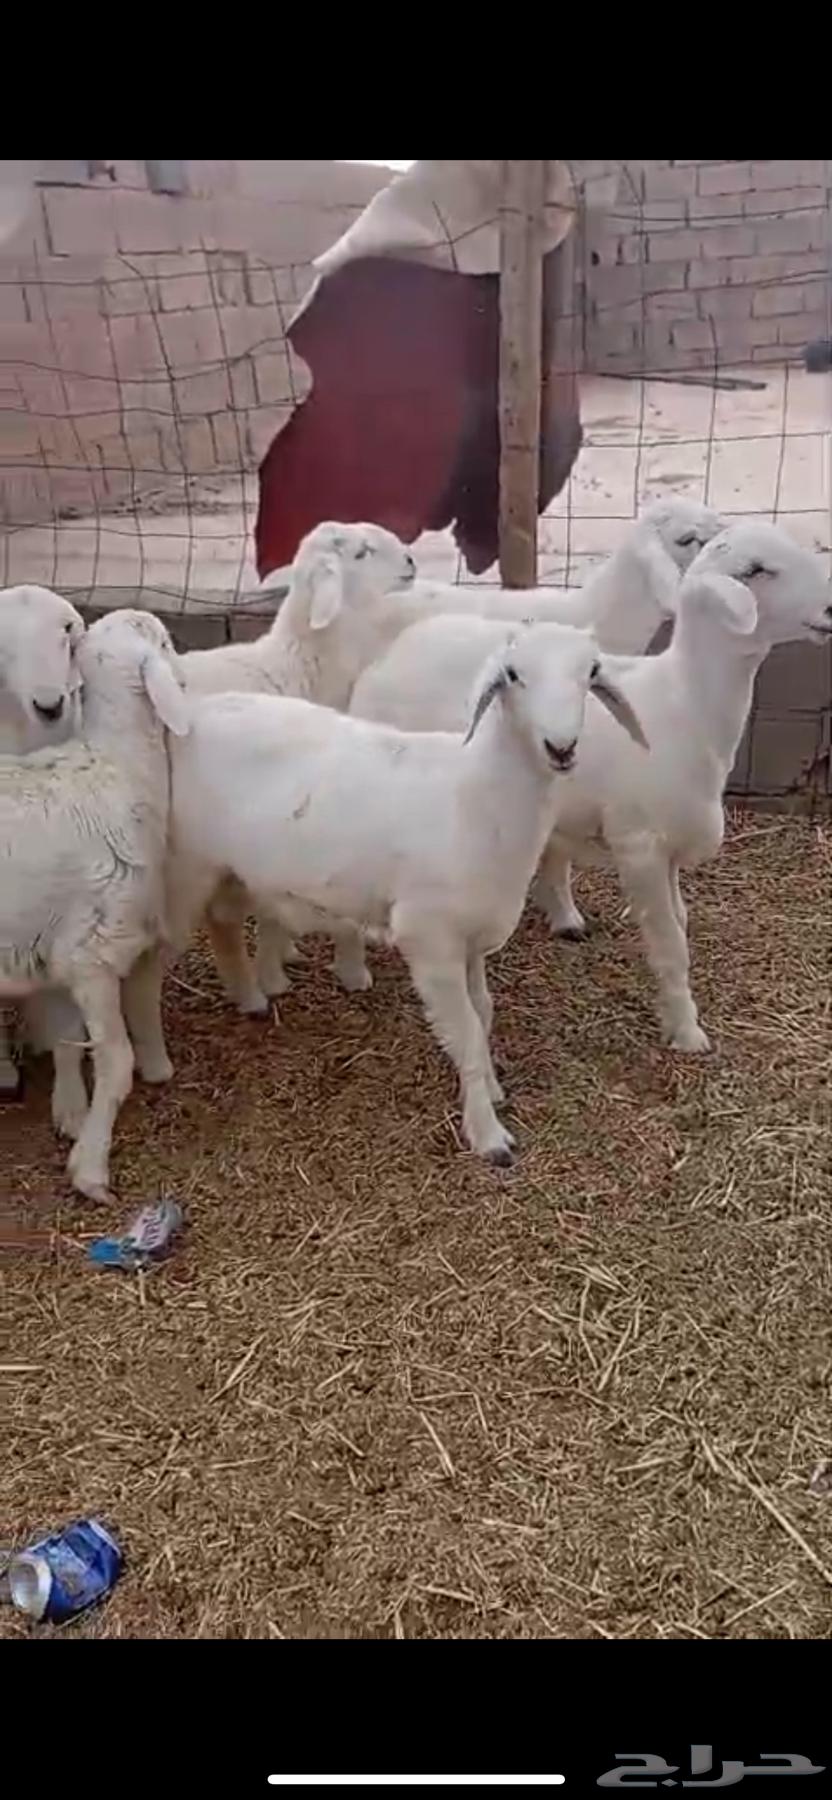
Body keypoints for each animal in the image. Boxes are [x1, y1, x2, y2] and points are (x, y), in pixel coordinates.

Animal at [0, 609, 190, 1201]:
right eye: (167, 643)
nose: (187, 676)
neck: (118, 765)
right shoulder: (94, 955)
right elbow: (117, 1061)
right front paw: (91, 1168)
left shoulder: (61, 950)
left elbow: (67, 1038)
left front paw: (72, 1117)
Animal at [166, 622, 647, 1163]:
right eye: (513, 674)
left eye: (591, 671)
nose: (561, 747)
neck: (475, 796)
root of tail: (200, 710)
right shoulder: (430, 937)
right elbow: (464, 1031)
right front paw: (488, 1135)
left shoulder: (470, 938)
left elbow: (483, 1013)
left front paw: (491, 1088)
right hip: (188, 862)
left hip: (231, 868)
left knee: (224, 920)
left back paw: (249, 995)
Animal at [354, 522, 830, 1054]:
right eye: (756, 570)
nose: (831, 609)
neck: (684, 701)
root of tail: (397, 648)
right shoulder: (639, 844)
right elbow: (670, 944)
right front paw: (687, 1031)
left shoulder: (667, 849)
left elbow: (681, 923)